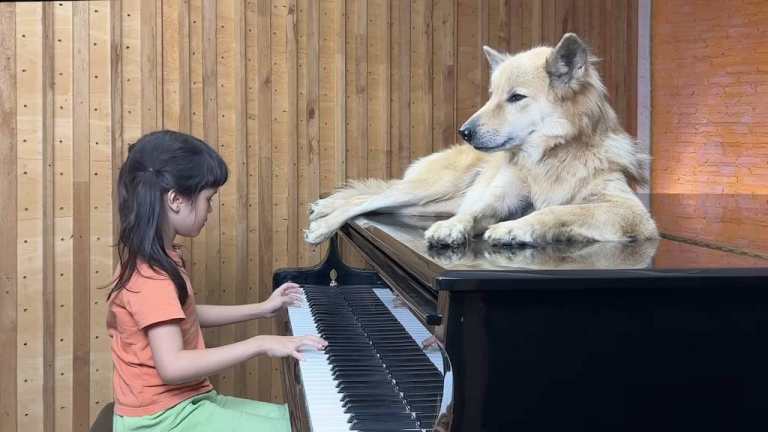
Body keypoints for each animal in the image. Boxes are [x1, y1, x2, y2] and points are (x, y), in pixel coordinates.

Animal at [304, 33, 656, 246]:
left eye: (515, 97)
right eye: (491, 96)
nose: (464, 131)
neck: (550, 156)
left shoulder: (630, 213)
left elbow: (557, 211)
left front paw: (513, 228)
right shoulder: (498, 198)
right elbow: (475, 212)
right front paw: (454, 227)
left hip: (431, 202)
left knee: (374, 200)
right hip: (430, 188)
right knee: (369, 198)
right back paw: (325, 219)